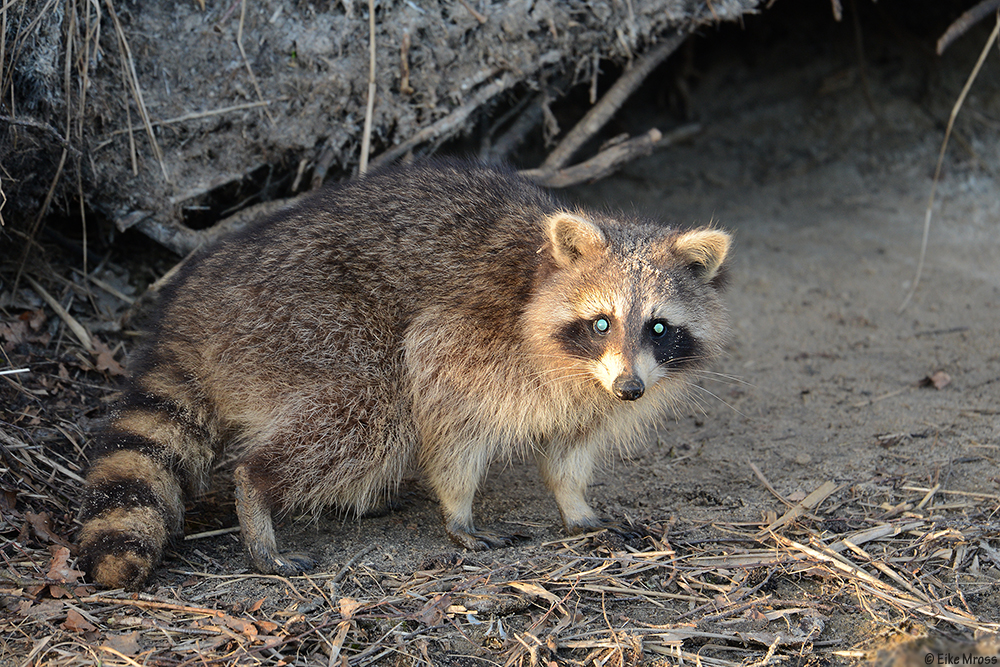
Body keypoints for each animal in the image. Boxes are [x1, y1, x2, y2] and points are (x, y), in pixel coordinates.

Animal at [78, 162, 732, 588]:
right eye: (601, 322)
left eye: (658, 328)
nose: (631, 389)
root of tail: (196, 306)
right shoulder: (466, 339)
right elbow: (445, 416)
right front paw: (458, 509)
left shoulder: (594, 396)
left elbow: (570, 447)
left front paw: (575, 505)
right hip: (310, 325)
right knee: (372, 410)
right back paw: (259, 491)